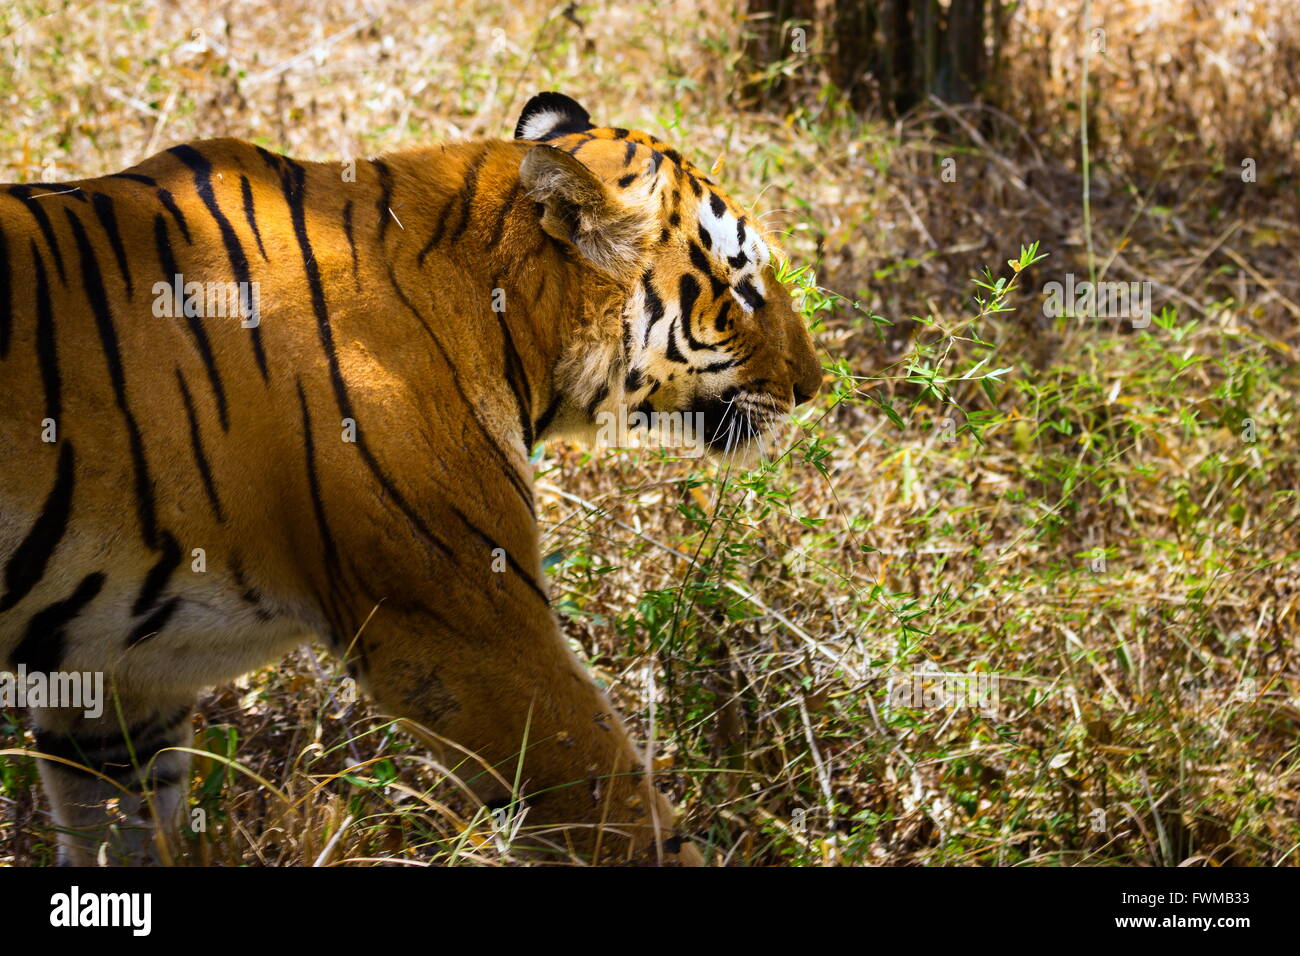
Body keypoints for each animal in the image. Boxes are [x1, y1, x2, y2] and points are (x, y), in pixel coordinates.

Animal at [0, 91, 822, 866]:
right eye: (745, 290)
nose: (813, 386)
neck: (505, 320)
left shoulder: (115, 675)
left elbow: (122, 828)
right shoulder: (467, 627)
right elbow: (617, 807)